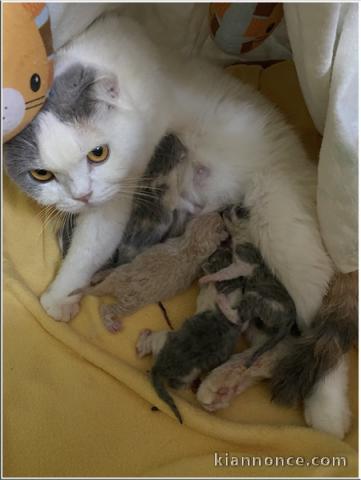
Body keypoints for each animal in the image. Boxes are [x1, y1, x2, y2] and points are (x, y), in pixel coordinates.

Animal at [4, 14, 348, 438]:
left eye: (98, 153)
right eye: (41, 174)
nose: (81, 195)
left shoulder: (125, 181)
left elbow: (94, 239)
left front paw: (60, 293)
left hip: (284, 228)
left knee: (321, 331)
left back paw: (326, 411)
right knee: (277, 347)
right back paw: (225, 382)